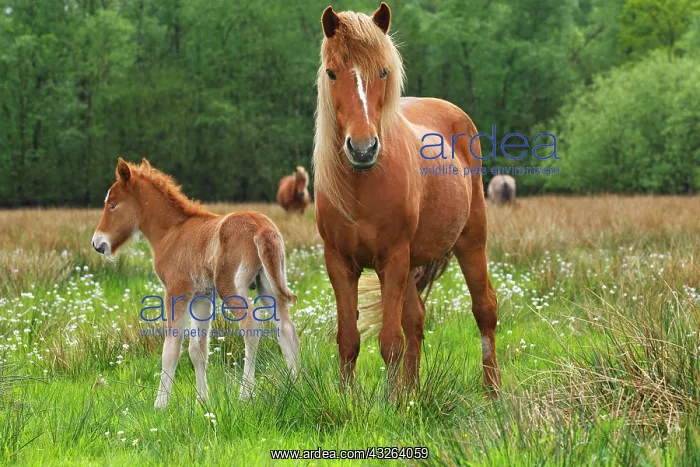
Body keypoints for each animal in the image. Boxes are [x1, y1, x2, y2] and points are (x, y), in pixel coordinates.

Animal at [91, 158, 300, 408]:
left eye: (112, 205)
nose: (97, 243)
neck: (171, 232)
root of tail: (262, 228)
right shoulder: (202, 295)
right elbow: (197, 349)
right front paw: (203, 400)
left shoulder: (177, 290)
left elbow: (171, 347)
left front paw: (160, 404)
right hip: (267, 286)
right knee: (286, 329)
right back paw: (298, 384)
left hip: (231, 287)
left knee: (252, 328)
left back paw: (245, 395)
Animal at [313, 3, 501, 395]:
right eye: (332, 73)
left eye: (383, 71)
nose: (363, 148)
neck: (362, 185)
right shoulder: (339, 263)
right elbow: (349, 340)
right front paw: (353, 400)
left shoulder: (393, 259)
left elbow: (389, 342)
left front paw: (391, 402)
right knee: (415, 321)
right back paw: (414, 393)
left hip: (471, 240)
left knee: (484, 310)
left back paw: (494, 392)